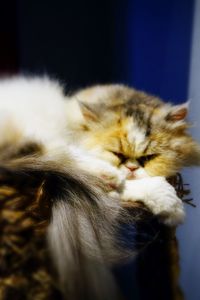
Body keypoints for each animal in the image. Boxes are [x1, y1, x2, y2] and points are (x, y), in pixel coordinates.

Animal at [0, 76, 199, 298]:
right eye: (117, 154)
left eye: (149, 158)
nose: (132, 168)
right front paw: (172, 207)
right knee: (64, 157)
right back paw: (109, 175)